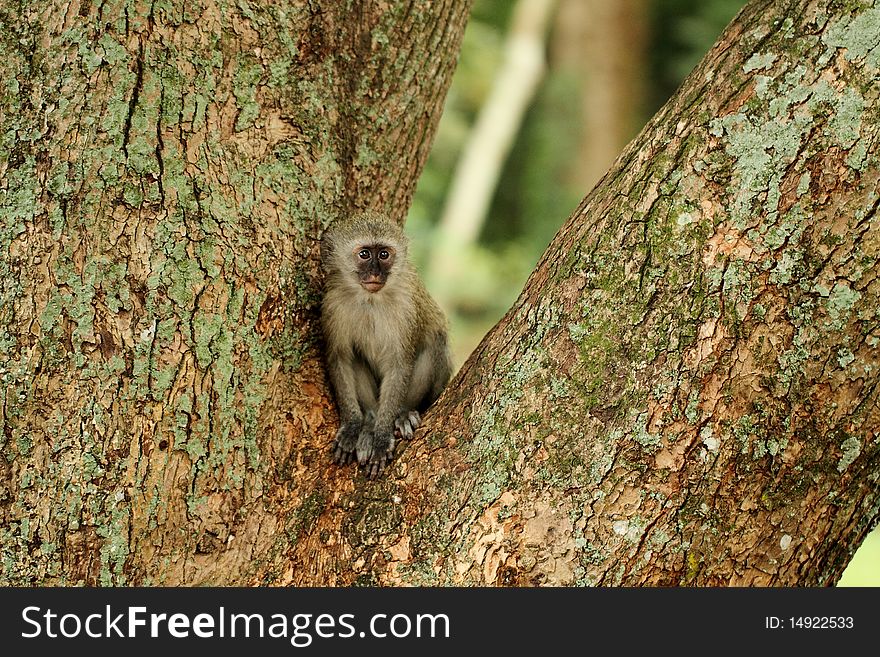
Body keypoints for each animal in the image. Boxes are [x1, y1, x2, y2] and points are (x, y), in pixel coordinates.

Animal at [318, 211, 454, 476]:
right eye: (364, 254)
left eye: (383, 255)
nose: (375, 273)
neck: (370, 299)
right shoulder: (333, 304)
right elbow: (340, 358)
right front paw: (353, 425)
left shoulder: (407, 306)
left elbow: (399, 365)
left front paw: (381, 439)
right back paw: (369, 421)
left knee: (435, 342)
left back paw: (402, 414)